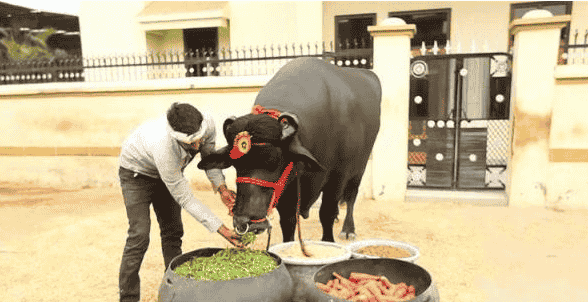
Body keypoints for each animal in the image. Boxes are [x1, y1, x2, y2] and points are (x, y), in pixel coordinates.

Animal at [198, 57, 382, 243]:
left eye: (275, 161)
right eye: (235, 164)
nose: (244, 221)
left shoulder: (338, 177)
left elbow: (326, 214)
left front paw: (328, 241)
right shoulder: (286, 190)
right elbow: (288, 221)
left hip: (360, 166)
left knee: (352, 196)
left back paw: (348, 229)